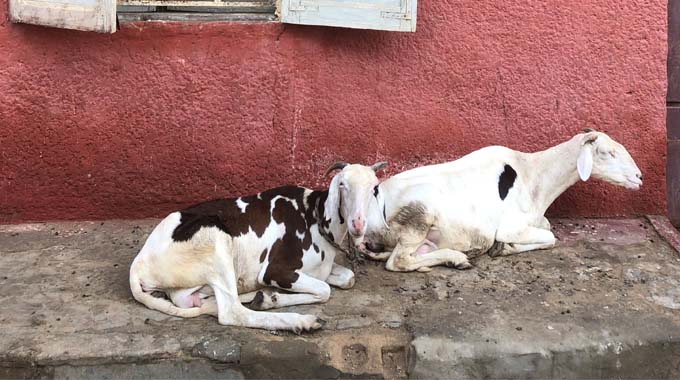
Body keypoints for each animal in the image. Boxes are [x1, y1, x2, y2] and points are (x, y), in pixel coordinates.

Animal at [129, 161, 386, 332]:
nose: (358, 223)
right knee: (232, 312)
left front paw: (271, 298)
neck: (313, 214)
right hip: (214, 239)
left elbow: (347, 278)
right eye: (343, 184)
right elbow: (324, 290)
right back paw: (299, 320)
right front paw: (277, 299)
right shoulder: (276, 270)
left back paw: (257, 296)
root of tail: (138, 265)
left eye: (374, 189)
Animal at [362, 131, 644, 274]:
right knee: (398, 261)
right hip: (417, 217)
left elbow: (547, 229)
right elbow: (550, 237)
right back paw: (458, 257)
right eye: (608, 153)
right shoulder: (511, 226)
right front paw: (505, 247)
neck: (535, 176)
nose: (639, 177)